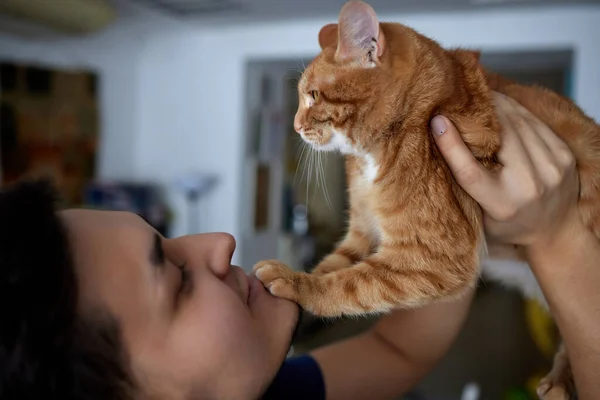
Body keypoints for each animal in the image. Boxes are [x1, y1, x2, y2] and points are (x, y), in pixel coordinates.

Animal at [253, 1, 600, 396]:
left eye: (312, 95)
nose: (295, 126)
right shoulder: (362, 235)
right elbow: (334, 266)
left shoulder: (437, 256)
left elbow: (350, 284)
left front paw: (297, 285)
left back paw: (561, 379)